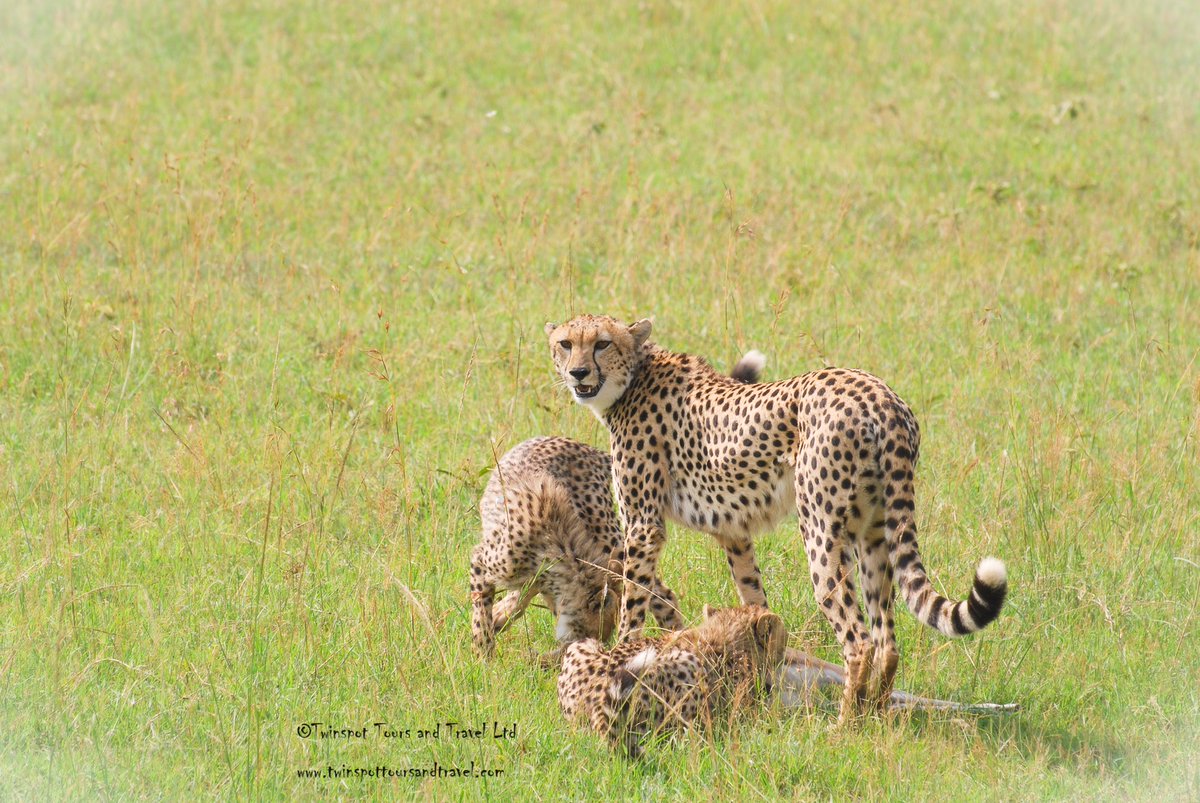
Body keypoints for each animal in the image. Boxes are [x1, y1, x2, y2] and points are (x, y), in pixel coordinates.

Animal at [542, 312, 1003, 720]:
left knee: (858, 639)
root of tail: (879, 394)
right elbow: (749, 596)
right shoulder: (732, 530)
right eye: (565, 343)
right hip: (873, 532)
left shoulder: (643, 525)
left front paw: (625, 651)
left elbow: (633, 596)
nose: (578, 373)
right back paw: (875, 715)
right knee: (886, 638)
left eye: (602, 343)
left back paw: (843, 726)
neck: (634, 376)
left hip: (819, 527)